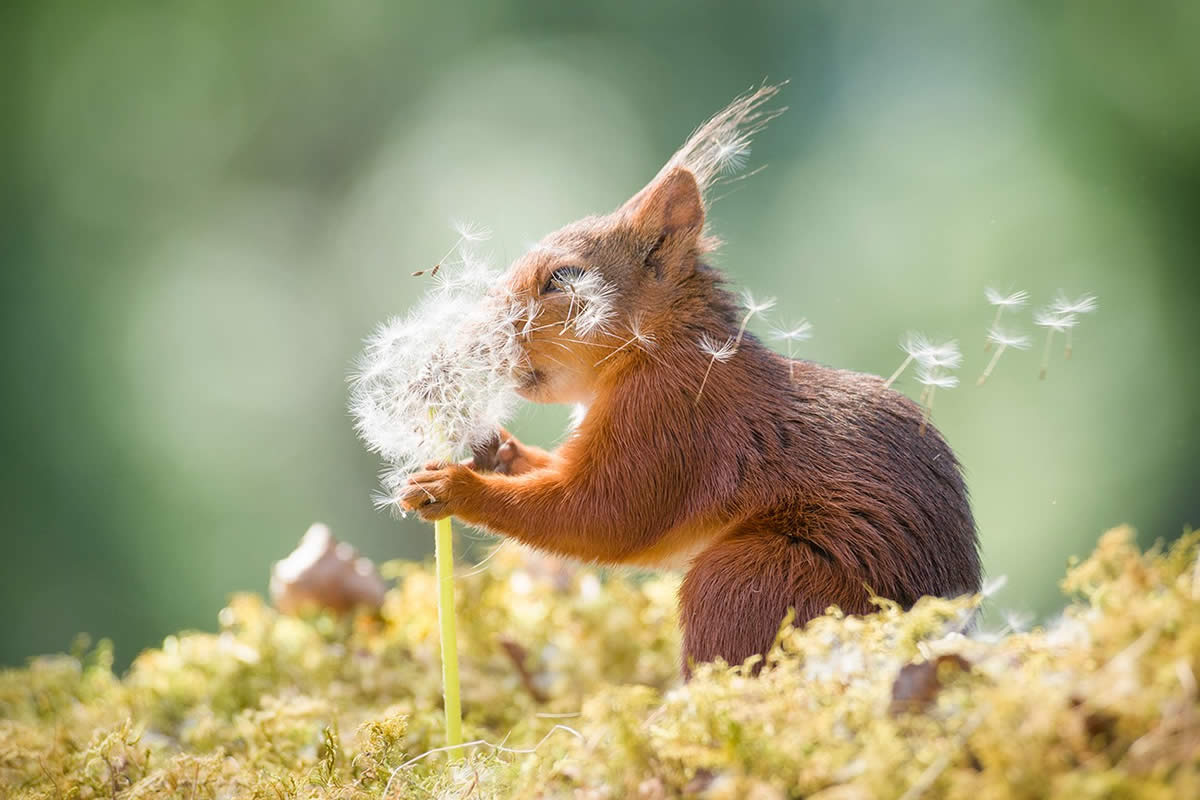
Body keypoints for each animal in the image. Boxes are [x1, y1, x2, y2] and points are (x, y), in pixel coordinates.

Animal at [398, 87, 979, 676]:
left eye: (563, 278)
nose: (473, 338)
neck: (658, 348)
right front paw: (498, 450)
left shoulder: (672, 418)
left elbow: (602, 514)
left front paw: (454, 487)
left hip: (753, 579)